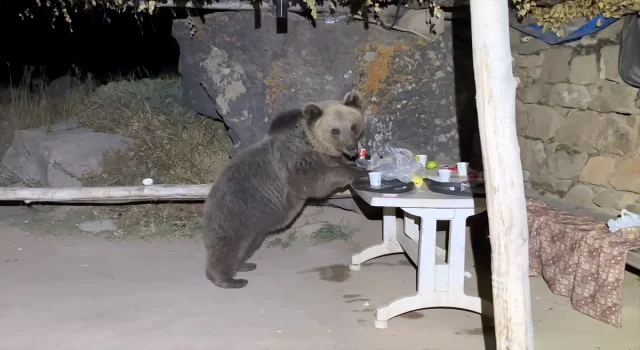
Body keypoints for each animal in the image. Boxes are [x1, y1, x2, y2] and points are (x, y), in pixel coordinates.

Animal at [202, 91, 368, 290]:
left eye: (353, 126)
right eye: (335, 130)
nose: (352, 148)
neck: (313, 144)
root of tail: (208, 201)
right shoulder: (294, 161)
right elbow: (313, 181)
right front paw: (358, 171)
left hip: (256, 226)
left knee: (247, 246)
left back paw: (244, 265)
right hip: (236, 213)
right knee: (228, 246)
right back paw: (228, 279)